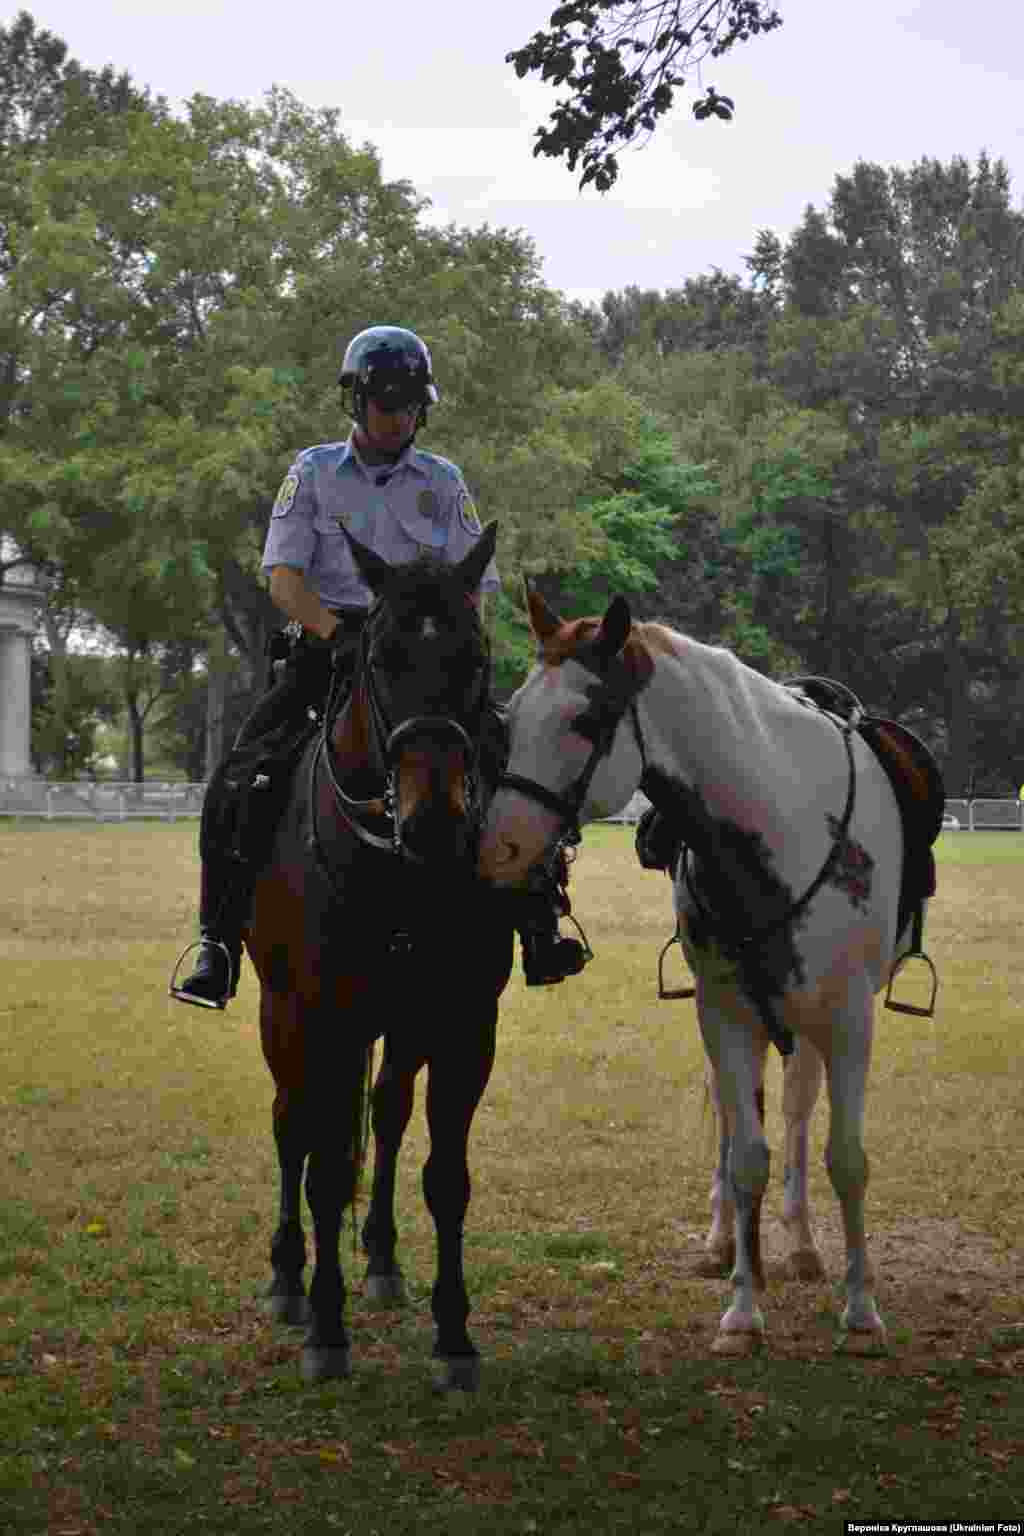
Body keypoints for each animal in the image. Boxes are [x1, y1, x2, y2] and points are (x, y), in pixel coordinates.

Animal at [241, 519, 512, 1394]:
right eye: (380, 657)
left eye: (476, 657)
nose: (435, 820)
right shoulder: (318, 1016)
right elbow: (325, 1170)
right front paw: (326, 1330)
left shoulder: (463, 1024)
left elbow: (446, 1177)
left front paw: (454, 1334)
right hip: (281, 1014)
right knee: (292, 1123)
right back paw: (287, 1277)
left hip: (398, 1023)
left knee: (387, 1114)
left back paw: (384, 1260)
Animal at [475, 586, 933, 1357]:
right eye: (514, 714)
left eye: (586, 719)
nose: (497, 846)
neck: (780, 825)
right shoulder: (724, 1010)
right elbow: (745, 1154)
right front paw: (743, 1310)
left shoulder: (847, 1017)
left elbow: (846, 1157)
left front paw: (862, 1310)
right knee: (732, 1115)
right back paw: (727, 1244)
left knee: (798, 1110)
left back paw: (803, 1246)